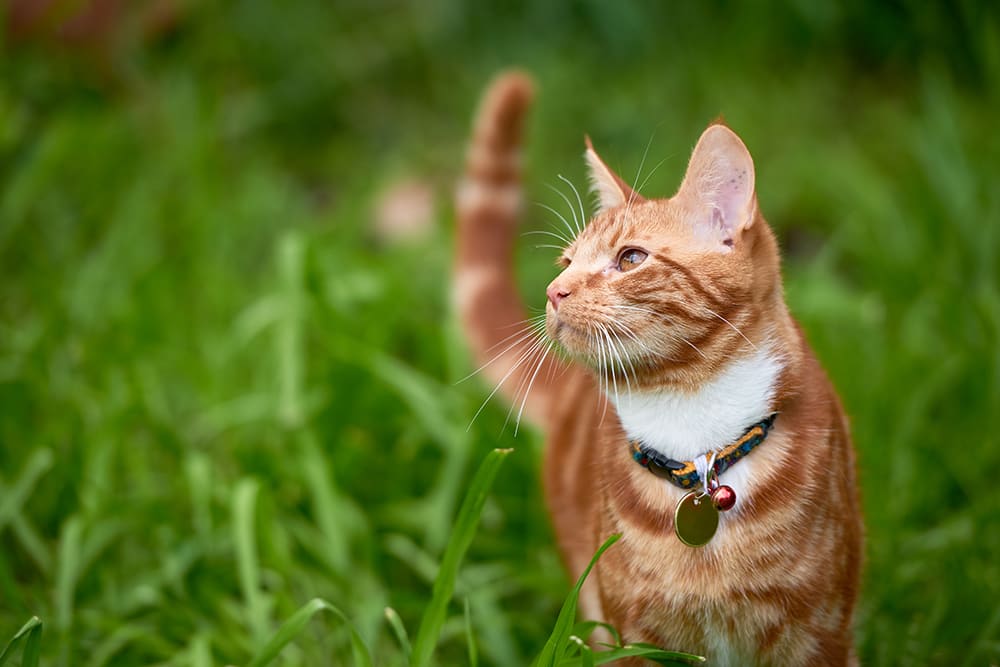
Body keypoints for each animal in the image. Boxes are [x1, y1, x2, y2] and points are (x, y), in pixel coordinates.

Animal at [458, 70, 864, 664]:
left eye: (630, 258)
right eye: (566, 262)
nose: (554, 291)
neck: (697, 438)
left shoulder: (821, 634)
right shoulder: (633, 638)